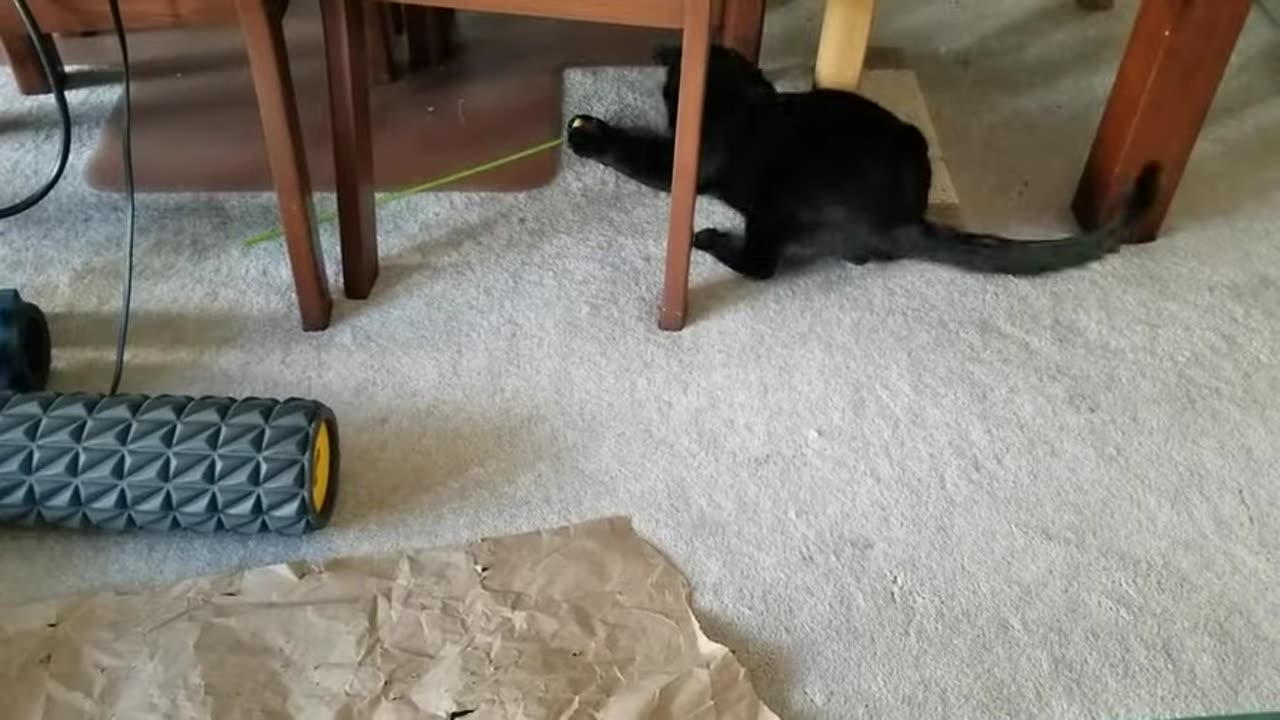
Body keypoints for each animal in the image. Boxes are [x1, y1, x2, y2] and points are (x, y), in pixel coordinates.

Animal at [565, 44, 1157, 279]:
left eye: (669, 95)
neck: (743, 100)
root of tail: (904, 219)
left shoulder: (684, 161)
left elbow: (637, 154)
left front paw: (586, 134)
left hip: (777, 203)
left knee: (762, 266)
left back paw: (708, 239)